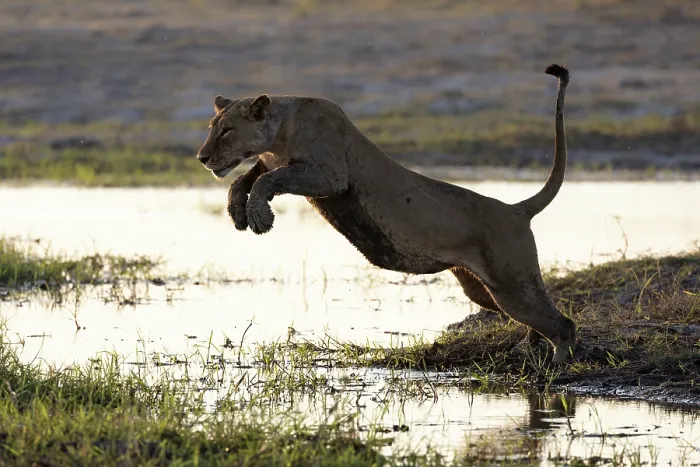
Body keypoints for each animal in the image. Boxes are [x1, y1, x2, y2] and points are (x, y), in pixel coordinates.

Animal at [196, 64, 575, 363]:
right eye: (211, 128)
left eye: (227, 130)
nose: (202, 157)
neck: (279, 133)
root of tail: (516, 210)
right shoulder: (271, 163)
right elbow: (243, 180)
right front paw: (238, 212)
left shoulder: (330, 175)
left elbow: (267, 180)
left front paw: (260, 218)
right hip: (483, 290)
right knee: (536, 322)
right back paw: (530, 351)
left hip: (512, 283)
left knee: (562, 324)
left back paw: (557, 370)